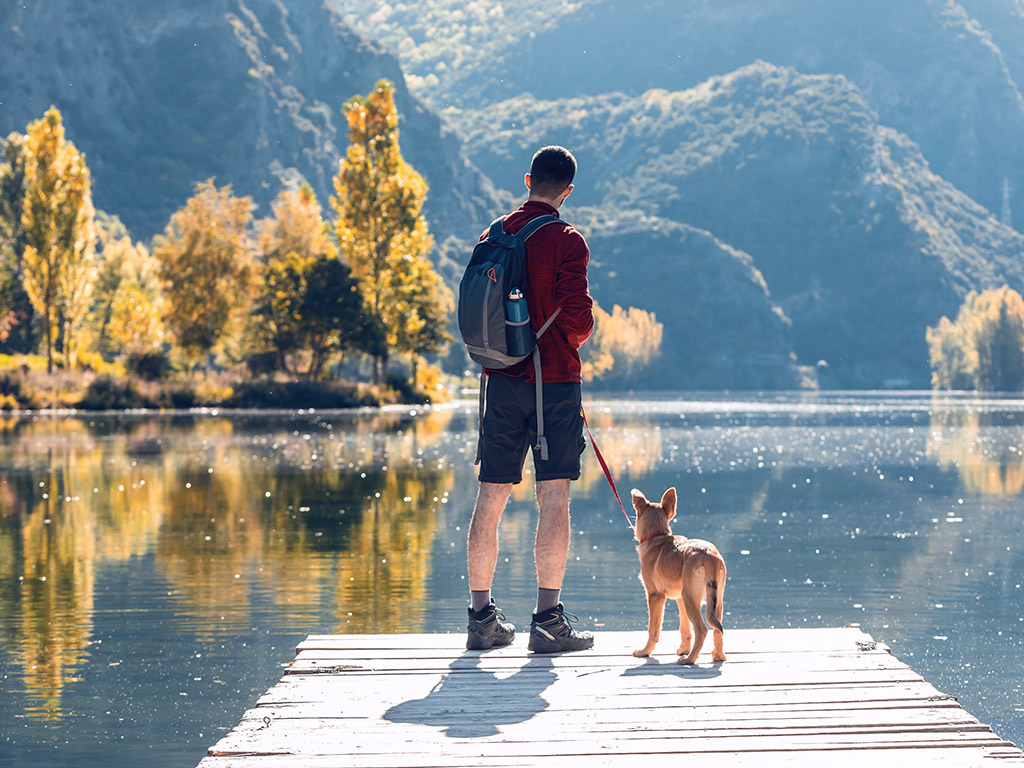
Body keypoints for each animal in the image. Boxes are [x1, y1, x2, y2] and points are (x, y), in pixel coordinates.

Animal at [626, 489, 724, 663]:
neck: (657, 535)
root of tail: (708, 555)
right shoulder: (679, 599)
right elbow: (685, 628)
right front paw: (683, 649)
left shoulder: (655, 596)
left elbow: (653, 629)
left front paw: (645, 652)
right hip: (714, 601)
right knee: (716, 630)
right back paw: (718, 656)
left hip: (691, 599)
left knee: (702, 629)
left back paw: (689, 660)